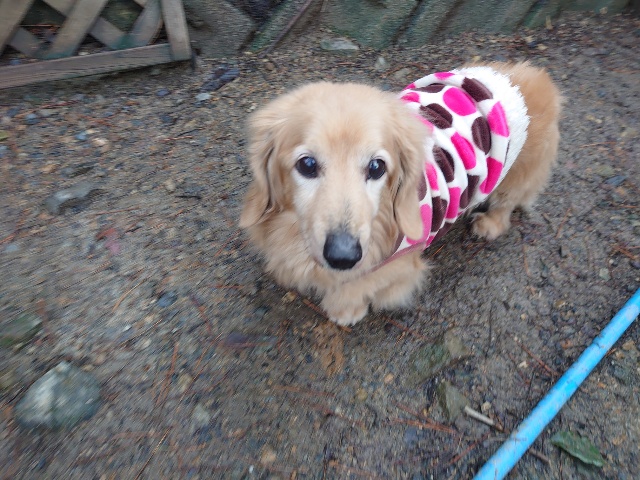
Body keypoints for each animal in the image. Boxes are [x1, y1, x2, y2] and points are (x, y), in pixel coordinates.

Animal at [240, 62, 561, 325]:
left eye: (376, 167)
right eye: (306, 164)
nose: (344, 256)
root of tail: (531, 78)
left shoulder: (398, 264)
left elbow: (360, 285)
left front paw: (345, 308)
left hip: (516, 174)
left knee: (507, 204)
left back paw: (490, 223)